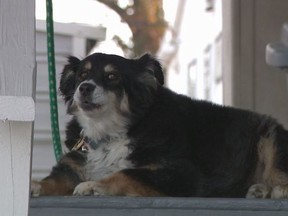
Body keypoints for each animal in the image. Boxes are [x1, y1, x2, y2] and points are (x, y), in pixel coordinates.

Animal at [31, 53, 288, 198]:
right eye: (81, 75)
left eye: (112, 76)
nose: (84, 88)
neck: (112, 132)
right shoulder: (74, 165)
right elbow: (54, 180)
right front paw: (33, 185)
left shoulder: (182, 172)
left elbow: (127, 173)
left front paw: (94, 185)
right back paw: (259, 189)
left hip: (271, 136)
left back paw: (273, 190)